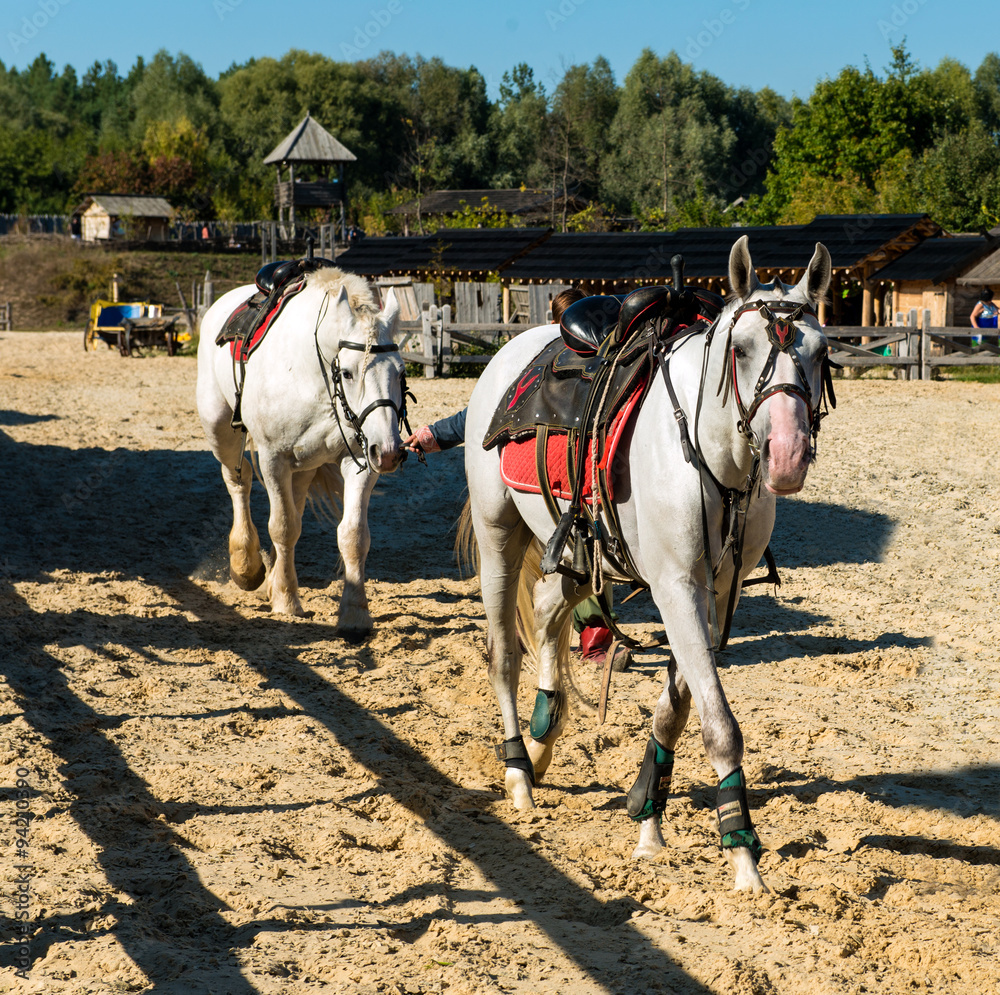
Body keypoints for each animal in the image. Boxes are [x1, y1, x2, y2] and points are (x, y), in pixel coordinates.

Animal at [196, 268, 406, 636]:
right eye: (347, 372)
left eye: (401, 371)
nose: (390, 452)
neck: (313, 375)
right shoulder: (273, 458)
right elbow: (281, 526)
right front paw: (286, 600)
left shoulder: (361, 461)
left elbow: (352, 535)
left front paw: (354, 615)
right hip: (220, 428)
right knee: (238, 480)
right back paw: (246, 563)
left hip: (306, 464)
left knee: (292, 504)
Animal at [464, 237, 832, 892]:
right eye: (741, 349)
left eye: (821, 351)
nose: (787, 456)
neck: (710, 454)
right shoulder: (675, 586)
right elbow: (718, 724)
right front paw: (742, 853)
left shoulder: (716, 592)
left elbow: (677, 710)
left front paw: (648, 816)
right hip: (497, 535)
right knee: (504, 653)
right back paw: (518, 772)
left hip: (579, 551)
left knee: (549, 609)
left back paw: (544, 735)